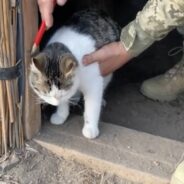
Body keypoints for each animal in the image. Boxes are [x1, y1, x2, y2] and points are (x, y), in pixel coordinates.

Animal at [29, 8, 120, 138]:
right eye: (46, 93)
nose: (55, 102)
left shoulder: (94, 82)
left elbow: (92, 105)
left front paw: (90, 128)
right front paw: (61, 114)